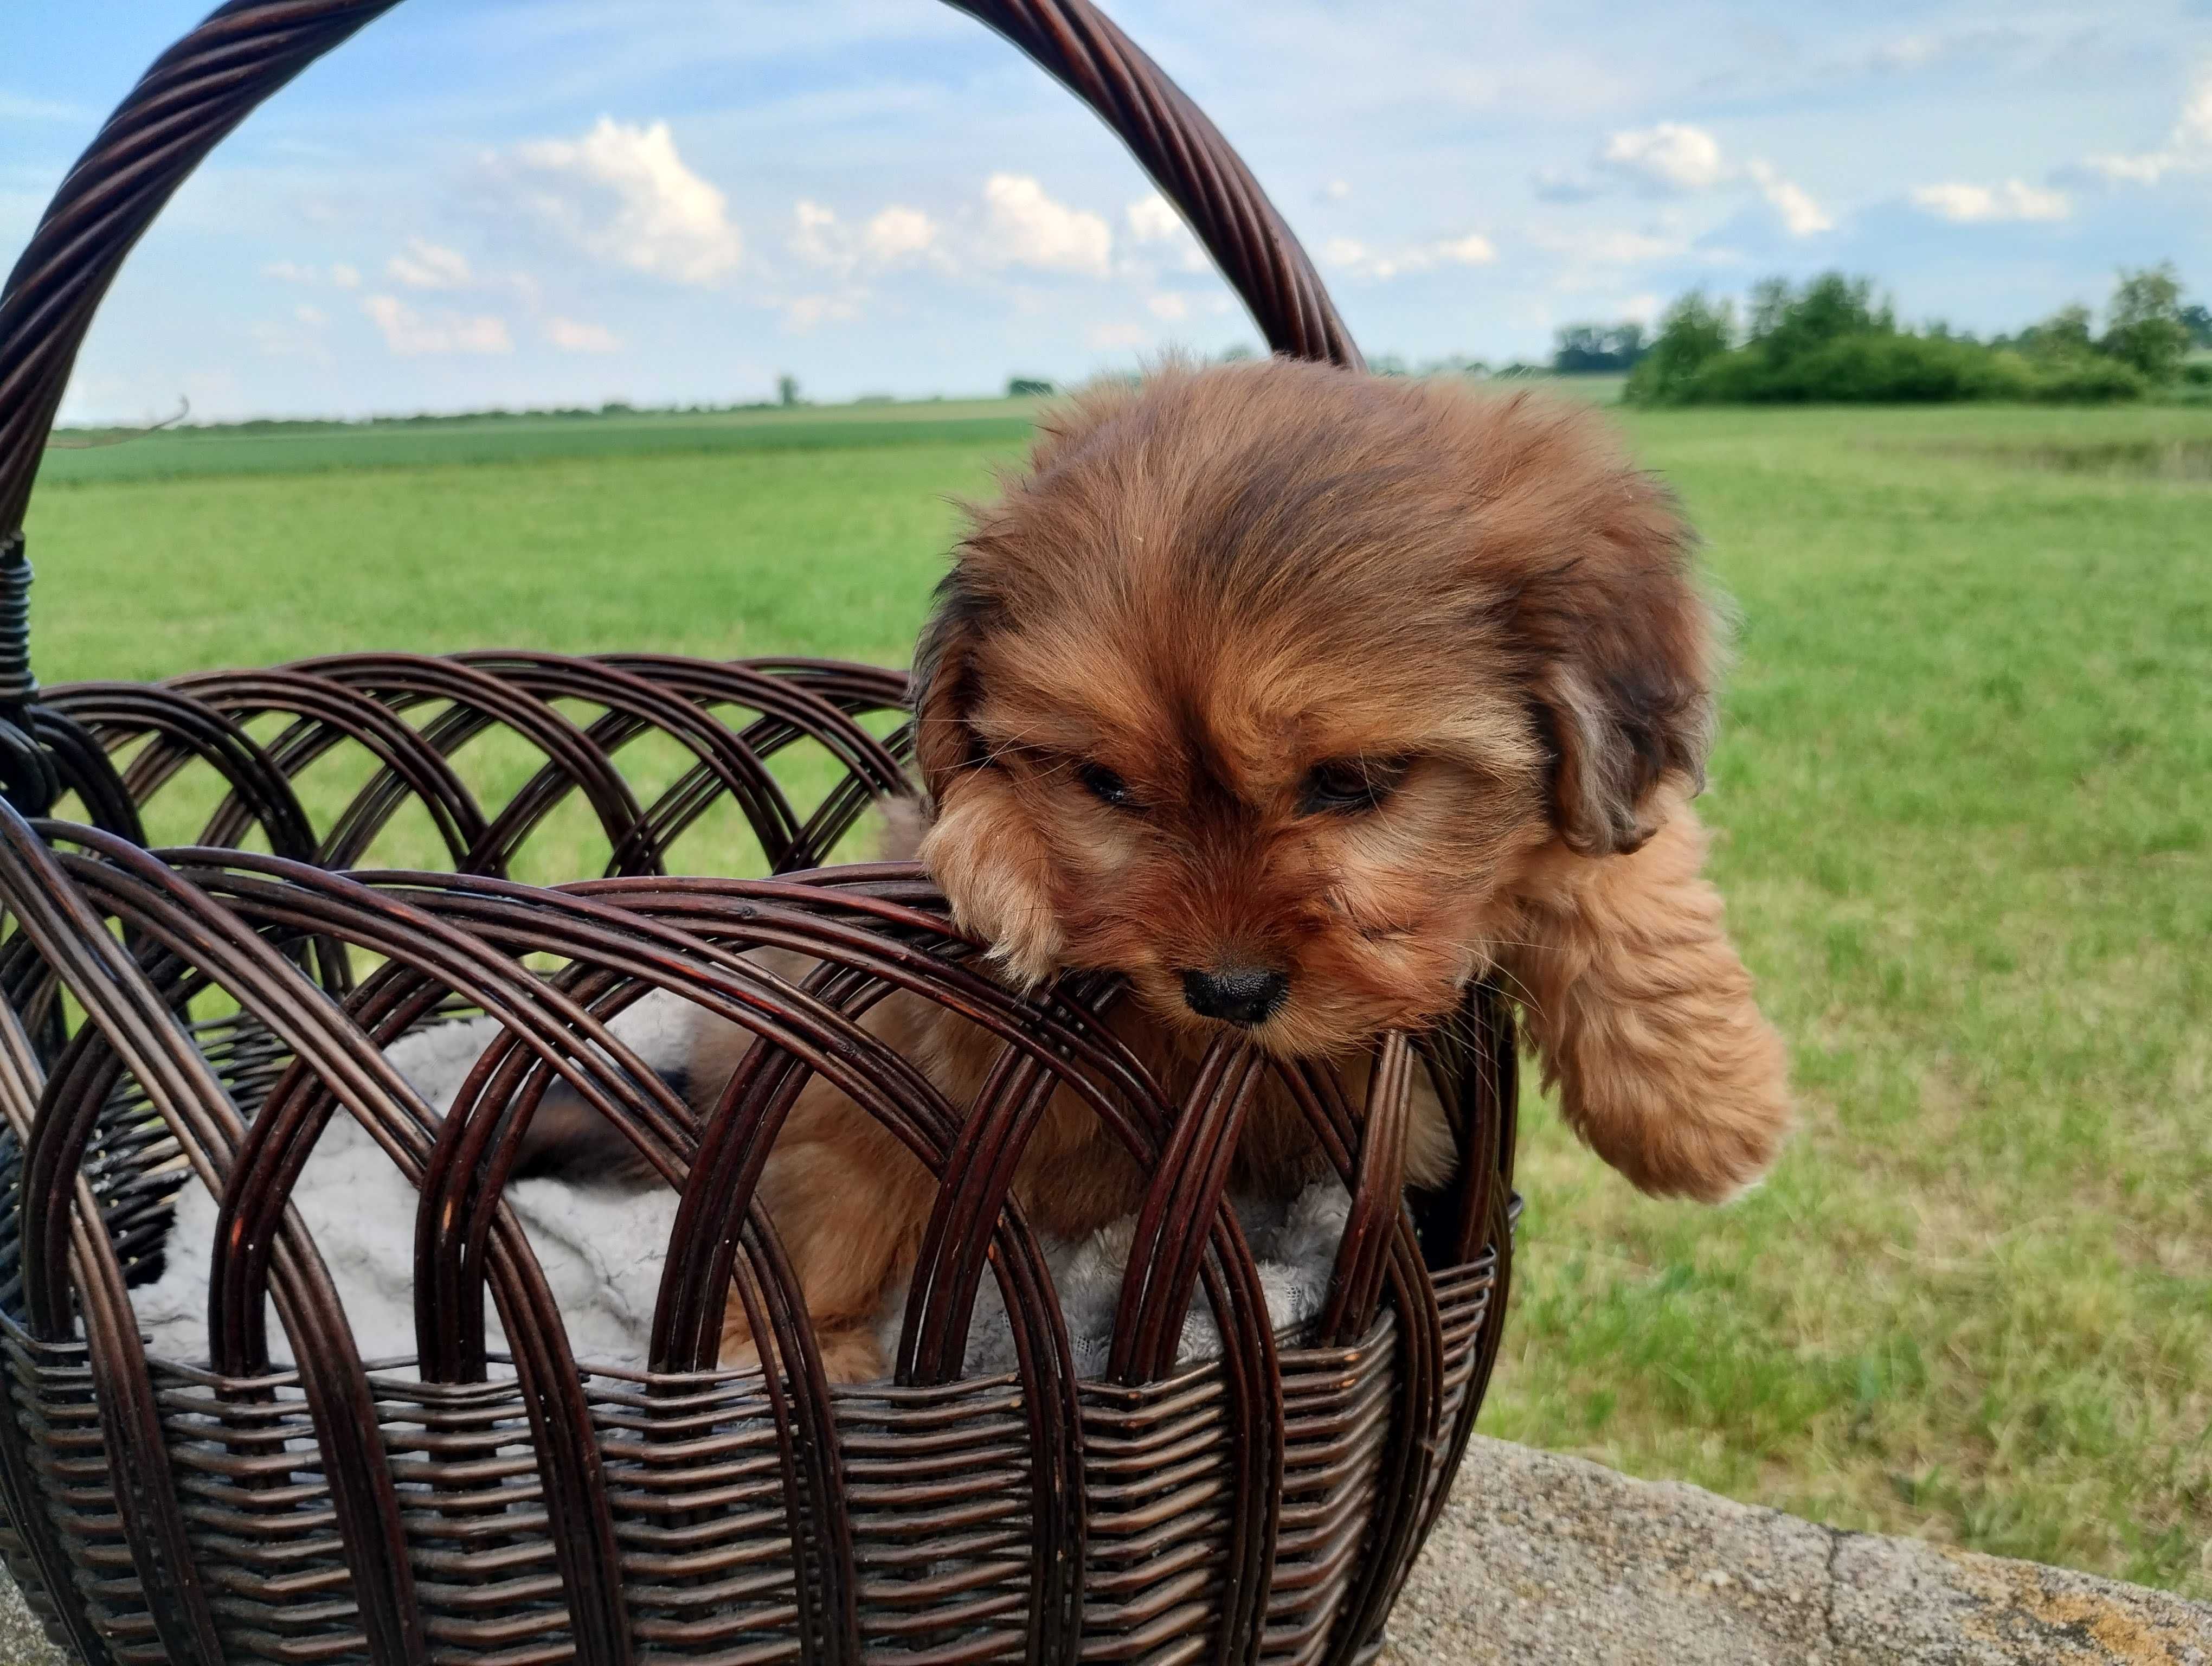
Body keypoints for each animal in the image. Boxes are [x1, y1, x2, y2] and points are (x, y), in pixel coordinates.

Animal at [668, 360, 1778, 1380]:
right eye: (1104, 784)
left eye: (1353, 782)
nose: (1228, 993)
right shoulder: (980, 1057)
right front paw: (1004, 857)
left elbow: (1615, 869)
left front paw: (1705, 1114)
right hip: (836, 1146)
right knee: (781, 1262)